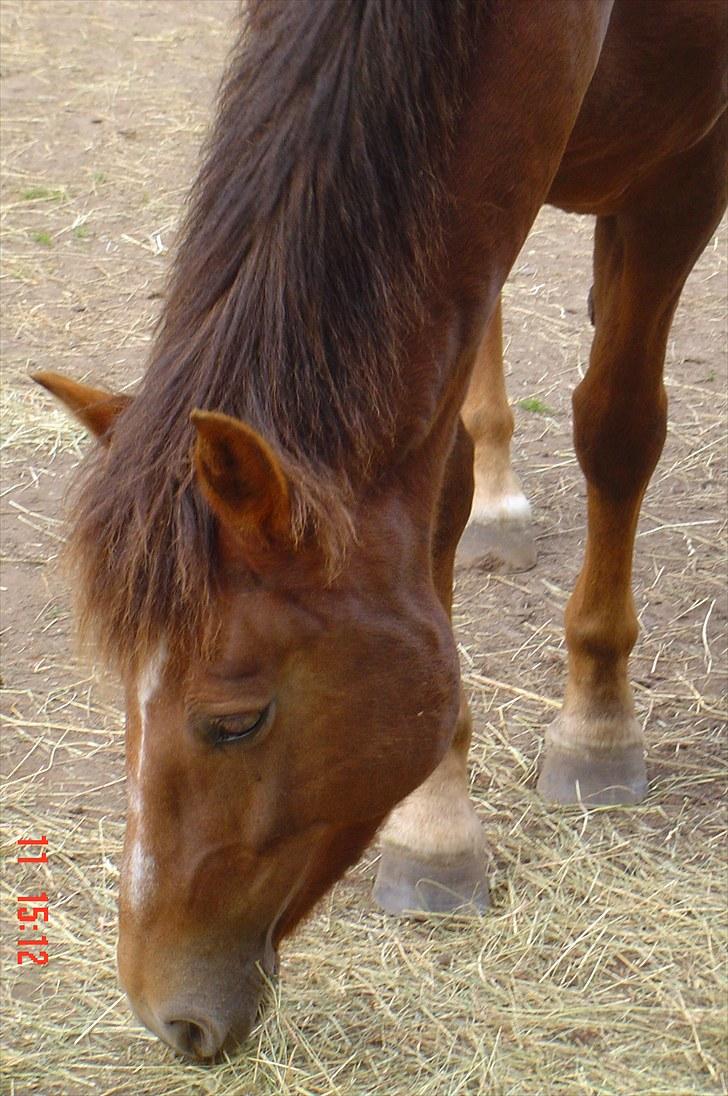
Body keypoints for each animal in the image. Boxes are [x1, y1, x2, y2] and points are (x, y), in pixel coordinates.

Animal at [34, 0, 726, 1062]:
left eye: (235, 721)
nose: (168, 1013)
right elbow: (437, 491)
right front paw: (437, 826)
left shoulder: (685, 176)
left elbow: (617, 428)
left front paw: (599, 724)